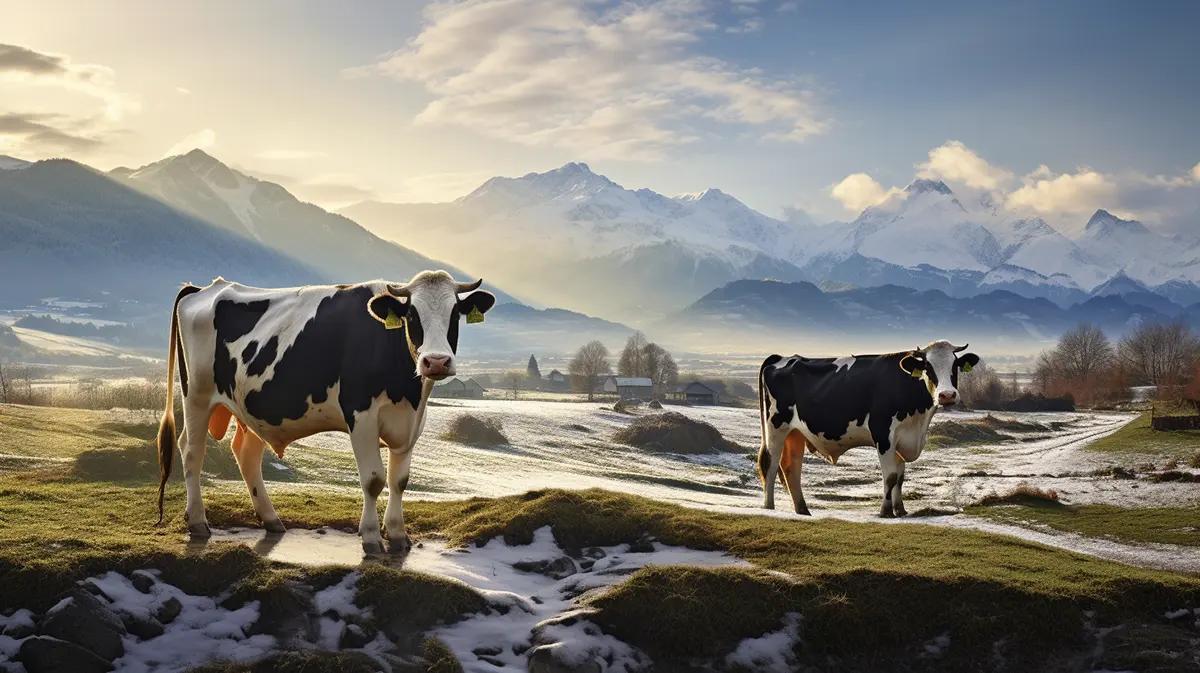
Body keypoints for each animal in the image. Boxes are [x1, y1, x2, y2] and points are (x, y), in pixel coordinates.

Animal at [155, 270, 496, 553]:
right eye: (411, 313)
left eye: (455, 314)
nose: (436, 362)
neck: (409, 392)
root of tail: (206, 288)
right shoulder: (361, 415)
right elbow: (374, 480)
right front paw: (371, 537)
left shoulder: (411, 421)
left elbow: (400, 480)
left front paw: (399, 535)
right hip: (197, 395)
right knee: (192, 451)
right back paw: (198, 521)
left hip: (251, 408)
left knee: (246, 454)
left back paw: (271, 519)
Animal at [756, 341, 980, 518]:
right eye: (927, 367)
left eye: (955, 365)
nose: (947, 395)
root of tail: (782, 358)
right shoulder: (883, 434)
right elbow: (890, 476)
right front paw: (886, 512)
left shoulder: (901, 438)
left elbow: (900, 477)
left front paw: (901, 510)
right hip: (775, 425)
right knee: (770, 464)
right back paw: (769, 508)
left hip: (795, 432)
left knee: (791, 467)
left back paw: (802, 510)